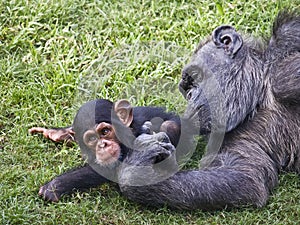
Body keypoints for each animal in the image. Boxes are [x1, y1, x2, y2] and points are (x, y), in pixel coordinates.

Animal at [30, 99, 180, 201]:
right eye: (92, 139)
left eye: (105, 131)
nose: (103, 145)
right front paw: (57, 132)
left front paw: (55, 186)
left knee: (169, 125)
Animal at [118, 10, 298, 210]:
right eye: (186, 89)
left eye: (191, 80)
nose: (190, 96)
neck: (260, 88)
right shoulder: (236, 135)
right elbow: (244, 177)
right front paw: (139, 163)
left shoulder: (288, 38)